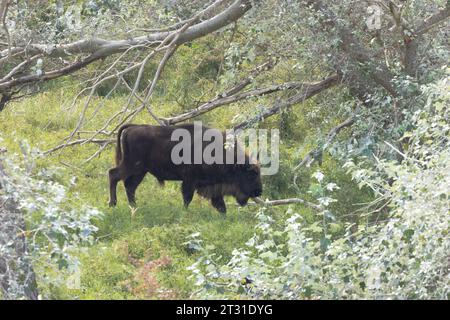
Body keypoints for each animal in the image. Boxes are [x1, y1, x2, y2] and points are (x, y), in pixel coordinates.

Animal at [108, 124, 262, 214]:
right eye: (251, 174)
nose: (259, 191)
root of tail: (132, 127)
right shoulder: (190, 180)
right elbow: (188, 197)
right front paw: (185, 212)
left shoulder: (213, 185)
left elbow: (220, 204)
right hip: (131, 165)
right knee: (113, 175)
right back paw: (113, 204)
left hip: (140, 171)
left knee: (130, 186)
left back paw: (134, 206)